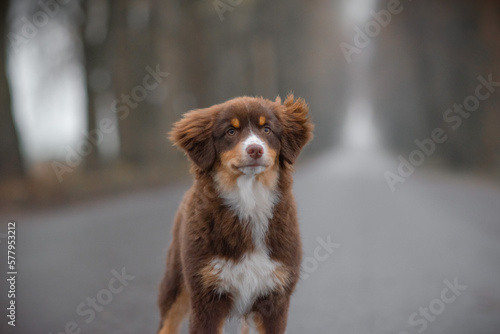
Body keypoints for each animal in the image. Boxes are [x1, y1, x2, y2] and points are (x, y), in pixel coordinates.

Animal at [157, 94, 312, 334]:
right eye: (231, 131)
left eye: (266, 129)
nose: (255, 149)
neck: (249, 201)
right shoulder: (206, 294)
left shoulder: (275, 295)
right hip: (176, 278)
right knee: (168, 322)